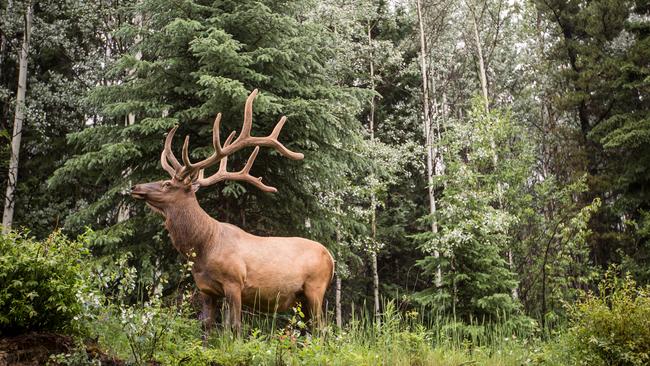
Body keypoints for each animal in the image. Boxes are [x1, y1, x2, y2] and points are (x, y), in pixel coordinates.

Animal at [130, 88, 334, 334]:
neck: (203, 246)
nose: (135, 187)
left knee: (322, 329)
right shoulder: (206, 289)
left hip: (315, 288)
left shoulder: (234, 282)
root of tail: (331, 258)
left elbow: (234, 327)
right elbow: (207, 326)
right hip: (302, 297)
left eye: (167, 184)